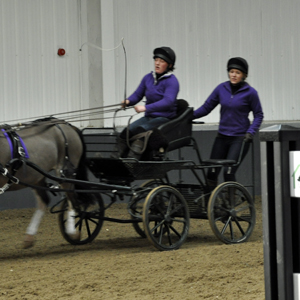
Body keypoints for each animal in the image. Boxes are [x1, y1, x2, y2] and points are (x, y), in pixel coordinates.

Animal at [0, 119, 84, 248]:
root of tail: (64, 124)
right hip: (37, 178)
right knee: (44, 201)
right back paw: (29, 237)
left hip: (65, 172)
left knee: (71, 198)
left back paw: (73, 232)